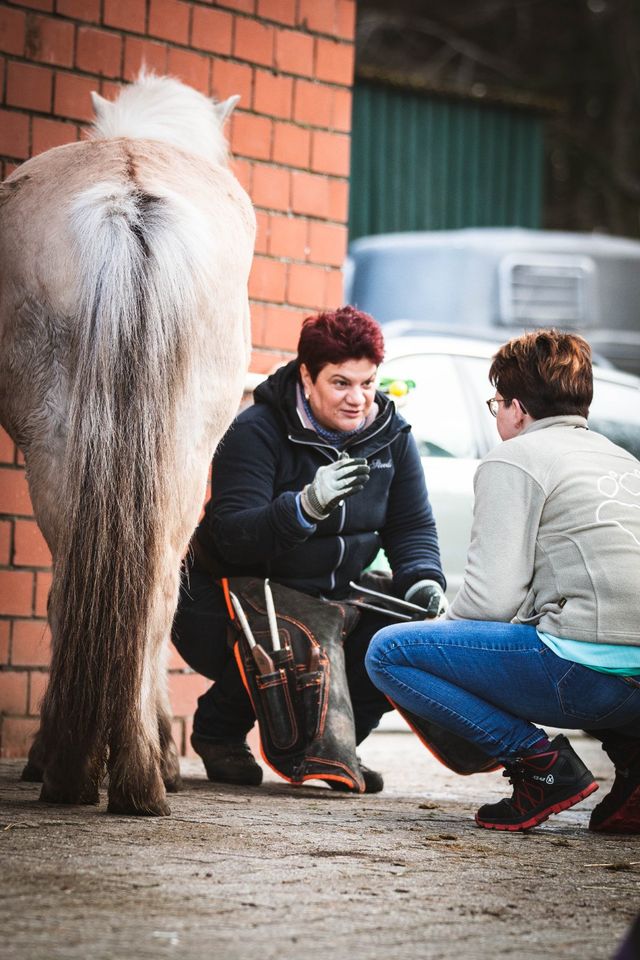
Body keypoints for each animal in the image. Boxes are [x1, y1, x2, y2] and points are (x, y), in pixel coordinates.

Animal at [0, 71, 255, 812]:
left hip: (63, 448)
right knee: (154, 588)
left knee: (79, 583)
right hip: (178, 457)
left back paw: (76, 767)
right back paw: (136, 771)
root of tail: (130, 195)